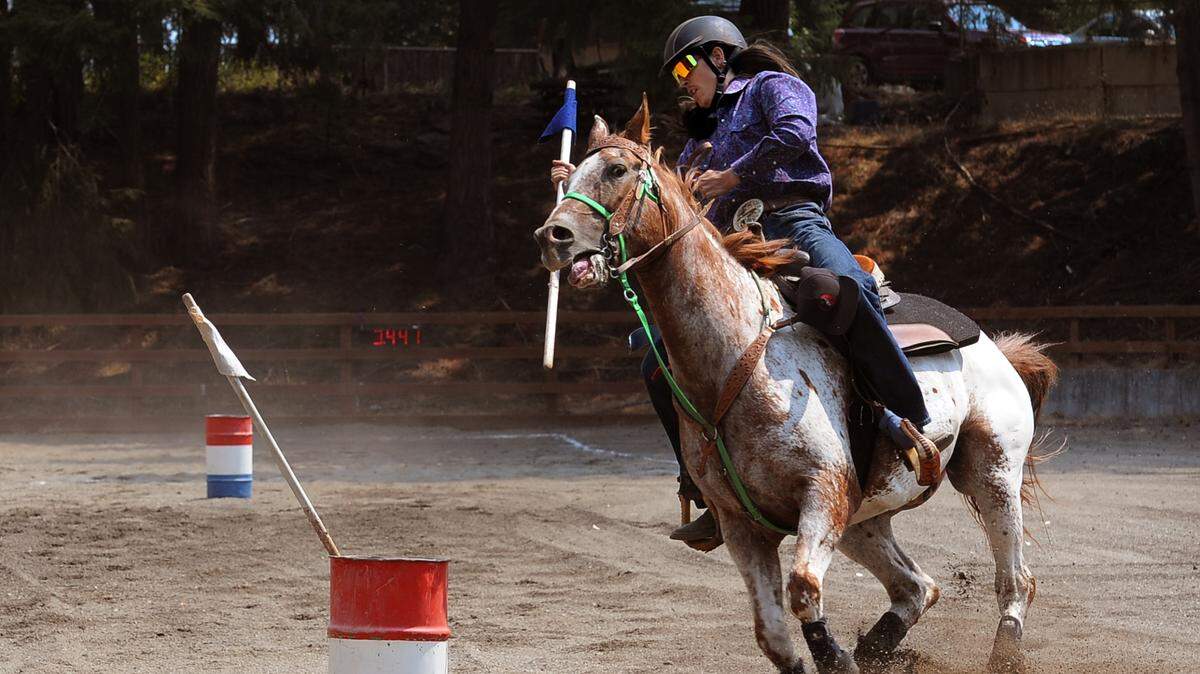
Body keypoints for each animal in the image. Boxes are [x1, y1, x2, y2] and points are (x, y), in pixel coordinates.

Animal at [533, 96, 1058, 674]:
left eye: (617, 170)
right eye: (571, 173)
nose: (552, 237)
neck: (736, 358)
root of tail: (991, 343)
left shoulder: (823, 493)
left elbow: (804, 589)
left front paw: (836, 658)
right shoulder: (742, 525)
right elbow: (773, 635)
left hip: (991, 472)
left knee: (1016, 580)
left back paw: (1003, 649)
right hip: (865, 517)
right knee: (917, 587)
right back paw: (877, 646)